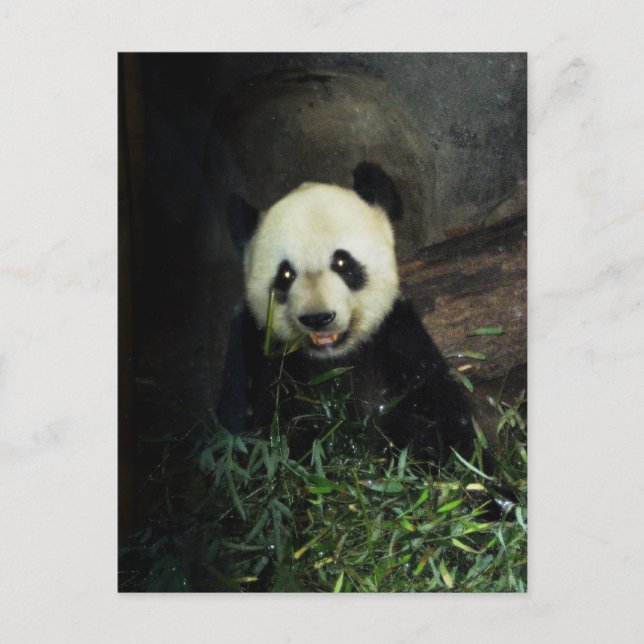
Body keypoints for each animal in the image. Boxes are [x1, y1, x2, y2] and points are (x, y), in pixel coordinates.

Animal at [217, 162, 474, 461]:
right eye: (286, 274)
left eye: (342, 262)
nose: (318, 318)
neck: (334, 359)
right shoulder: (257, 353)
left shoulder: (396, 339)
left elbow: (438, 418)